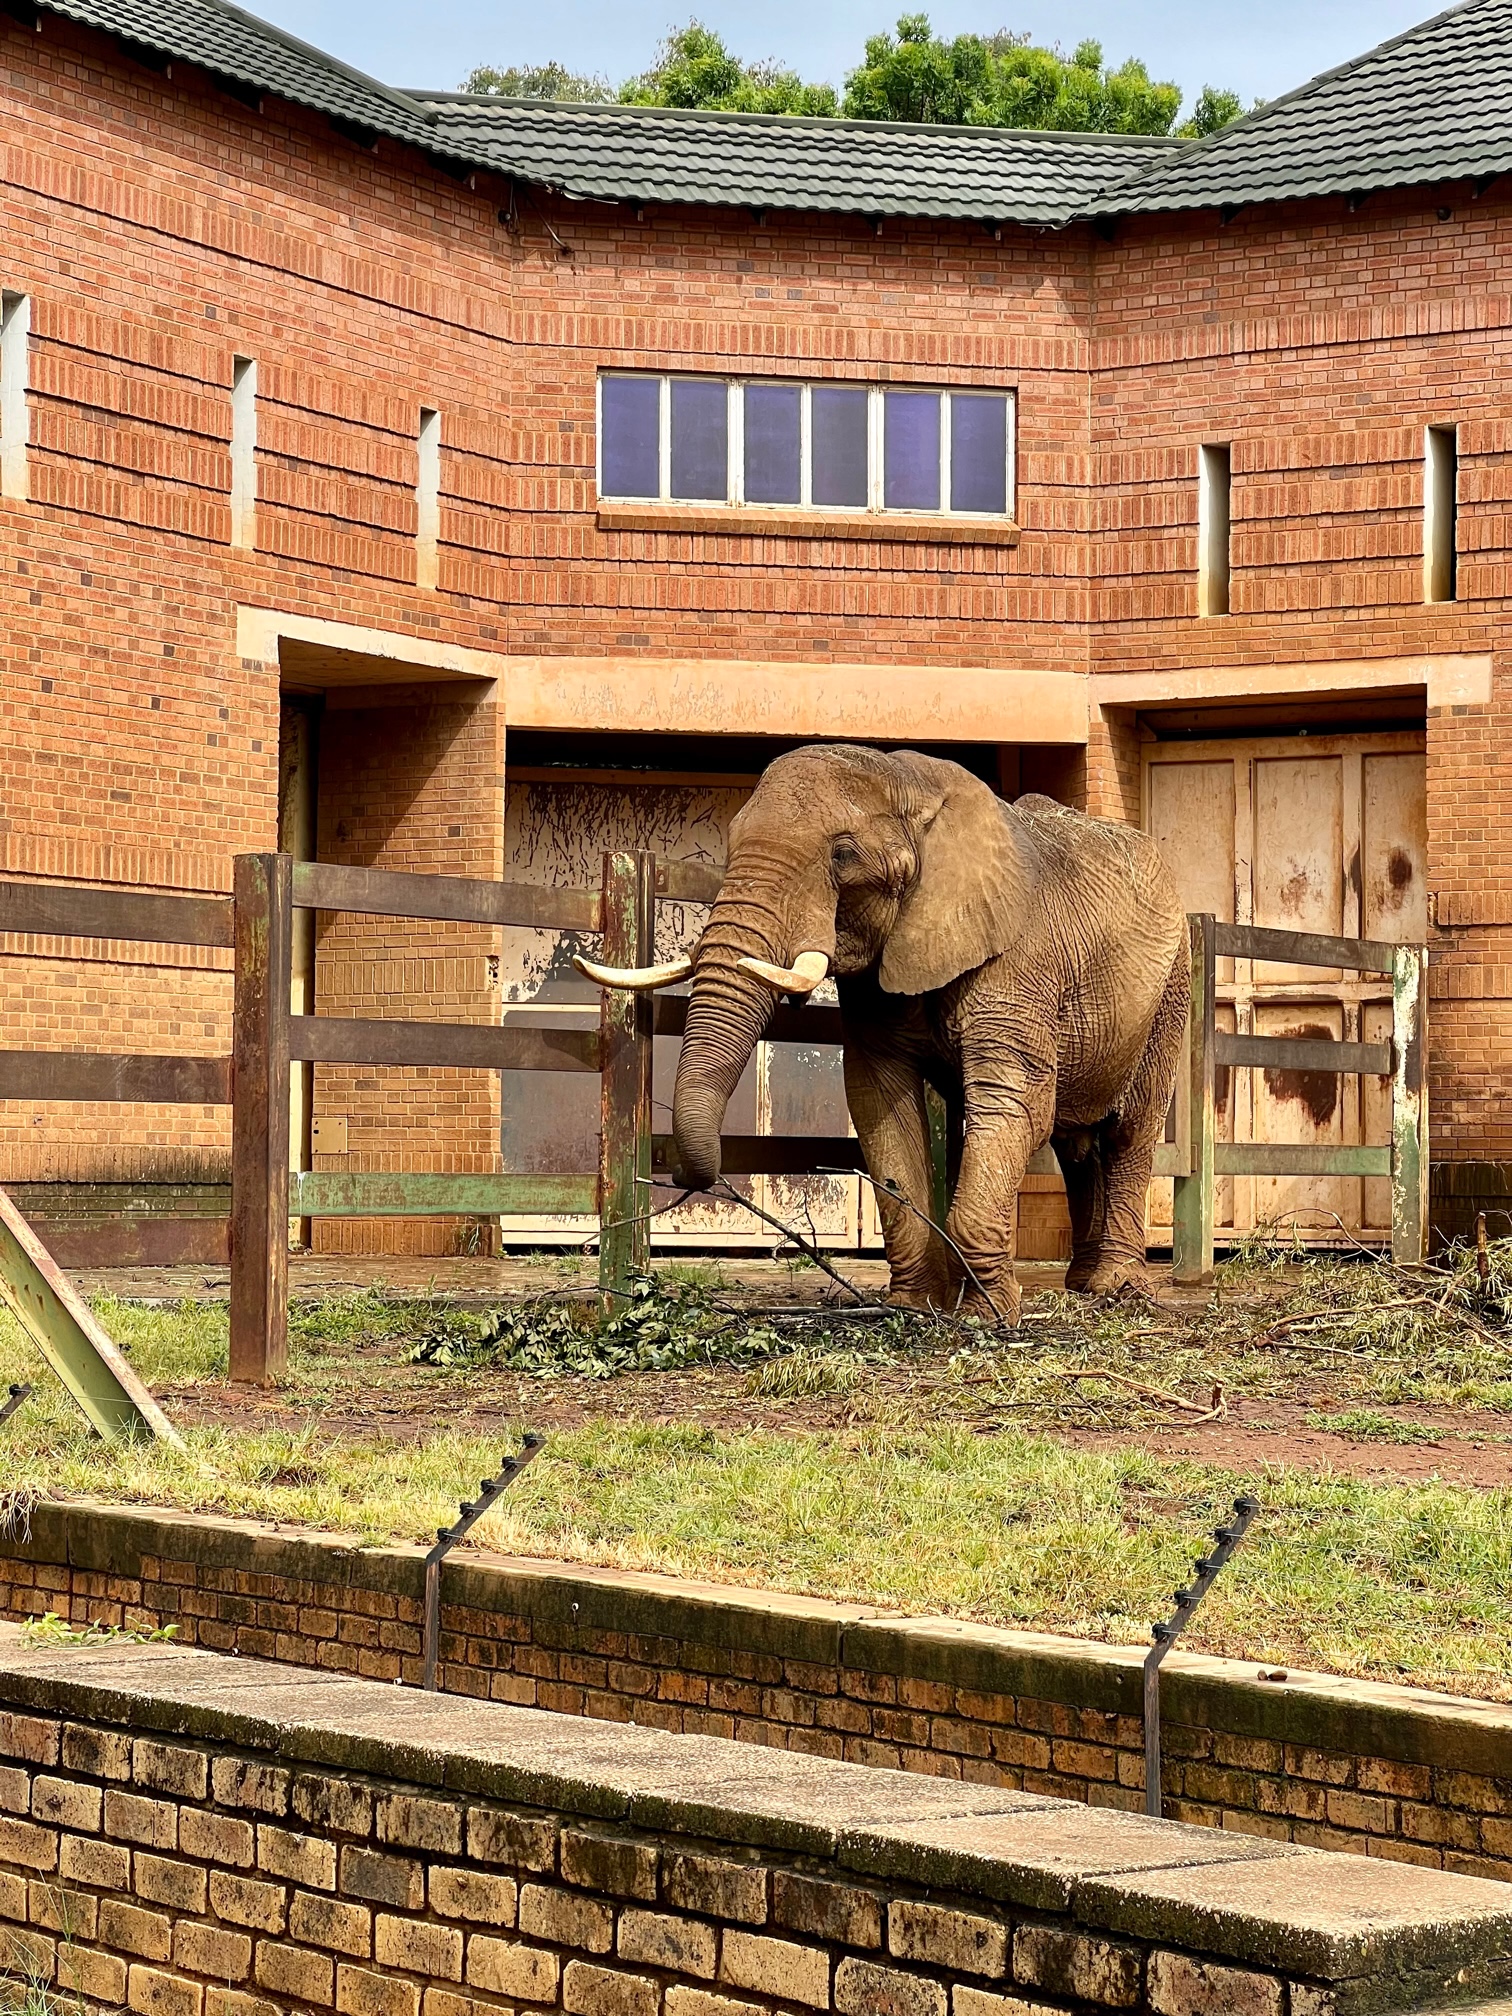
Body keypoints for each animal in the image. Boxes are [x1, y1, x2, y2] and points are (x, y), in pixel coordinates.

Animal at [580, 741, 1193, 1322]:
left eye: (842, 855)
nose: (684, 1174)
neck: (910, 783)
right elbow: (881, 1103)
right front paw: (914, 1307)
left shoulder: (1019, 962)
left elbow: (1011, 1100)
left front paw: (989, 1315)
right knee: (1076, 1142)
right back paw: (1082, 1284)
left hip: (1171, 990)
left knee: (1129, 1132)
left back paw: (1117, 1289)